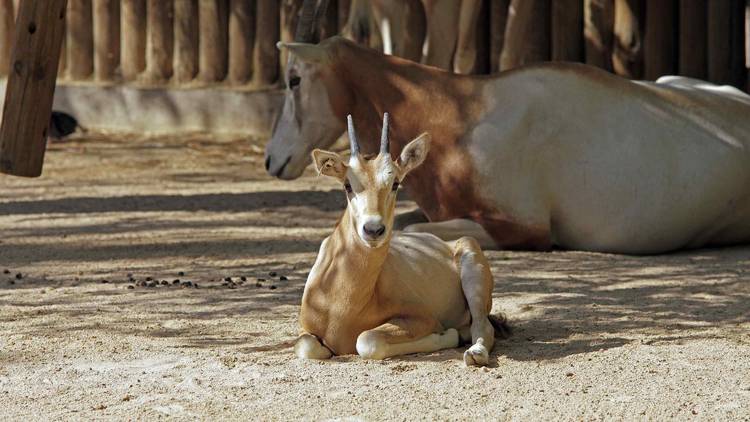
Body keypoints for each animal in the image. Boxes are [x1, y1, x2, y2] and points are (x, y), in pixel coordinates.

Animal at [296, 113, 508, 366]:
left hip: (473, 275)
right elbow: (306, 347)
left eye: (395, 183)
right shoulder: (306, 331)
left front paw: (446, 335)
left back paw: (475, 352)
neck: (339, 297)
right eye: (348, 185)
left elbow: (367, 340)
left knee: (482, 326)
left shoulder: (422, 319)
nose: (373, 229)